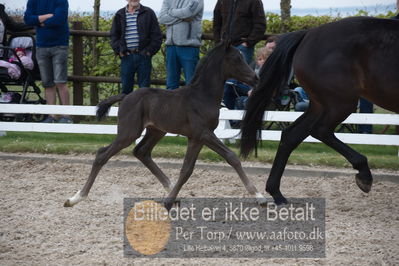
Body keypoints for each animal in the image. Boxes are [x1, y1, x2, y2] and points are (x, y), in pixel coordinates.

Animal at [64, 40, 268, 209]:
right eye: (237, 59)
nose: (256, 79)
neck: (202, 96)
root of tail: (126, 96)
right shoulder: (202, 134)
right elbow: (227, 158)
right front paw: (259, 196)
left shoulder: (197, 138)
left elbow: (189, 169)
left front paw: (171, 198)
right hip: (129, 133)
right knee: (102, 154)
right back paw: (75, 198)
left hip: (156, 131)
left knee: (141, 152)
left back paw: (170, 187)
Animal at [241, 16, 399, 204]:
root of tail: (308, 33)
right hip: (341, 102)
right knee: (320, 130)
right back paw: (364, 175)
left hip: (320, 104)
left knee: (291, 135)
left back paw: (277, 193)